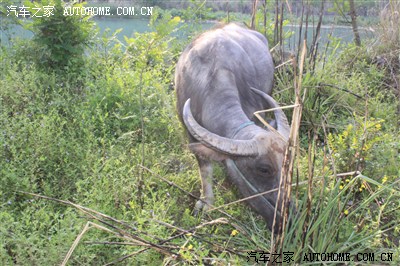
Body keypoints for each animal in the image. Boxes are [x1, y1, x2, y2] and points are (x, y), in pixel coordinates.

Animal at [175, 23, 290, 233]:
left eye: (287, 162)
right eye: (264, 169)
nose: (285, 219)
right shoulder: (190, 135)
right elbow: (205, 170)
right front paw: (207, 203)